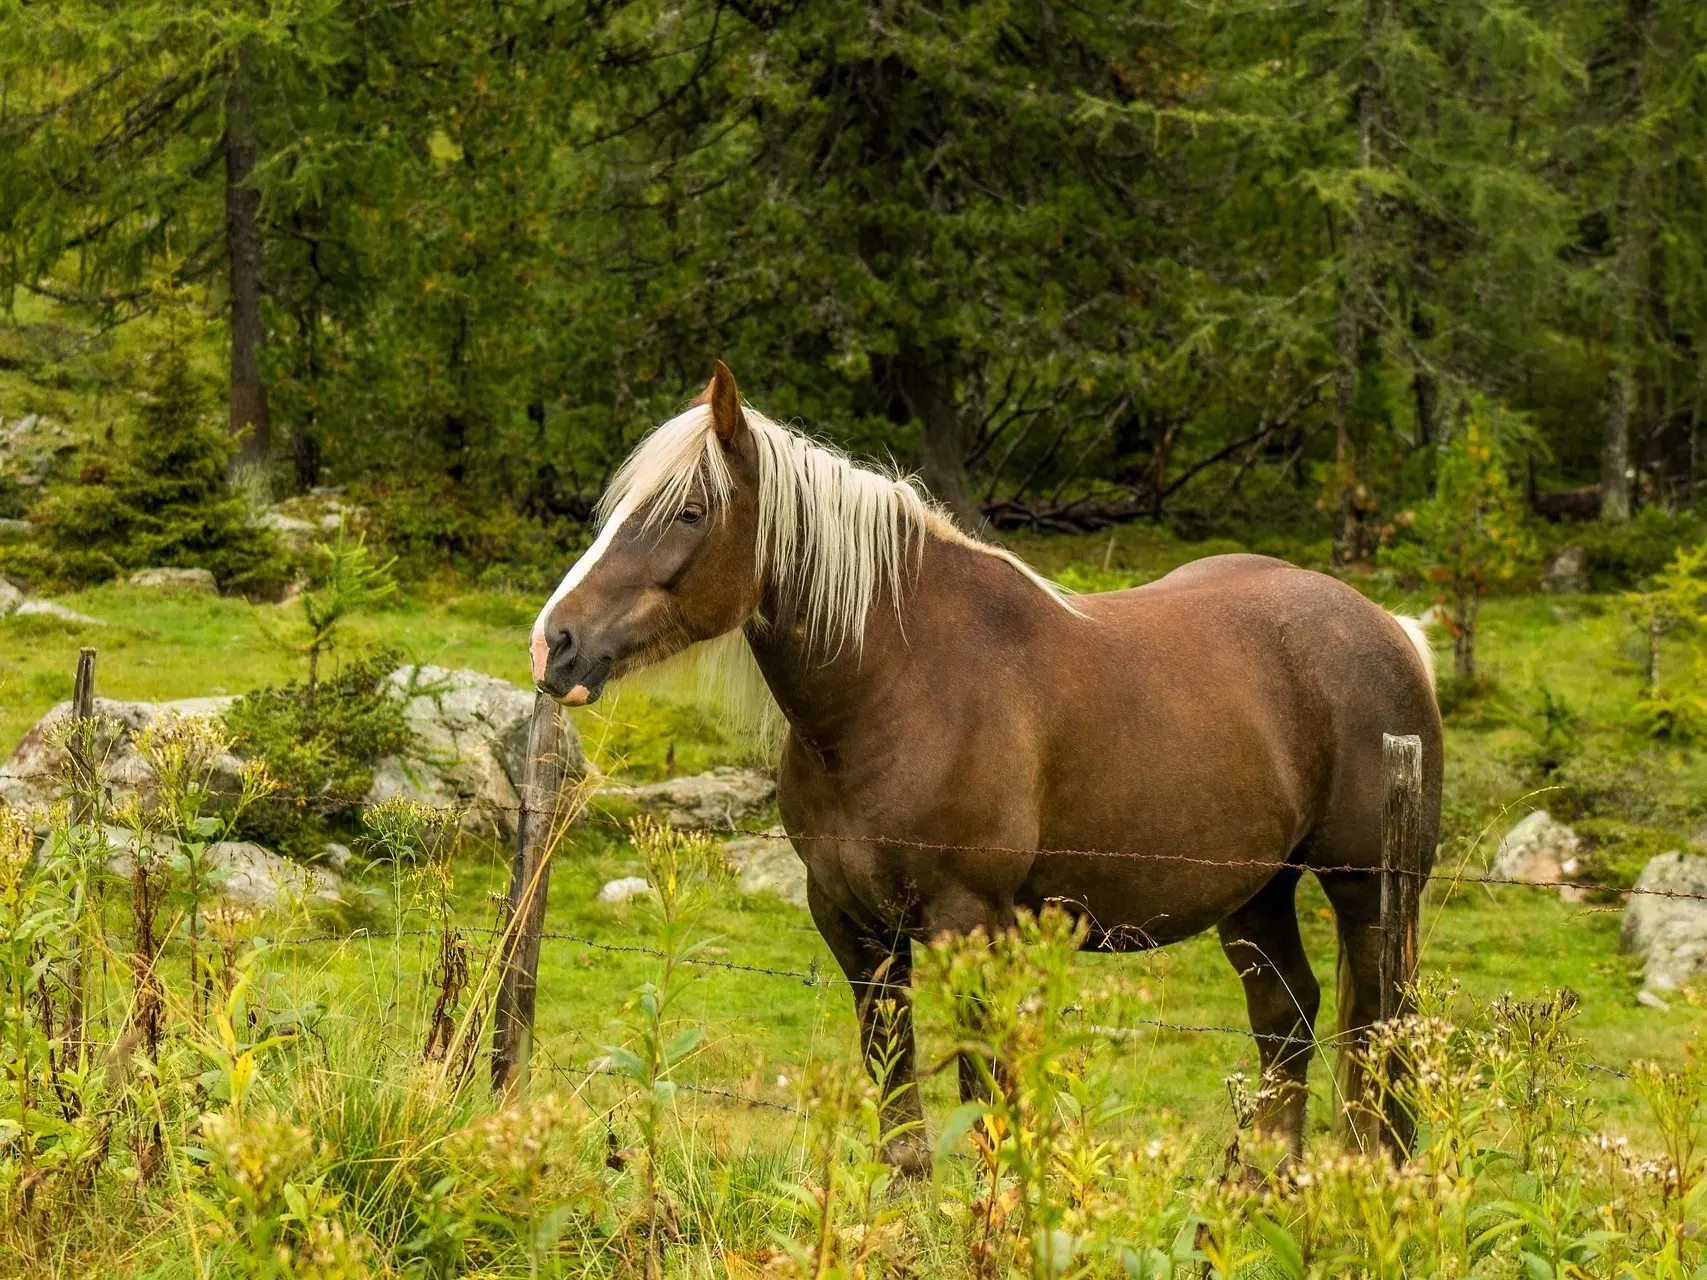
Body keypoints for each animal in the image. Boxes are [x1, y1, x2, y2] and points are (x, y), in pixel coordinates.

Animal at [532, 361, 1440, 1174]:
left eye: (688, 512)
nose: (554, 644)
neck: (902, 687)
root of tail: (1389, 629)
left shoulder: (969, 921)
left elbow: (985, 1099)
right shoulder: (851, 924)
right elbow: (898, 1110)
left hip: (1368, 891)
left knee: (1381, 1030)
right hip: (1255, 893)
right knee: (1285, 1017)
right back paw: (1260, 1184)